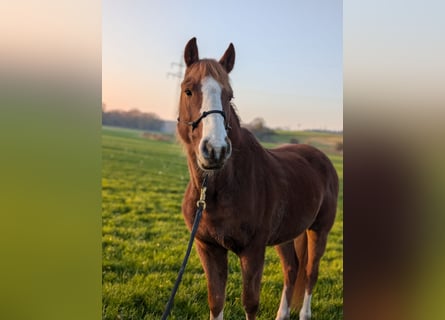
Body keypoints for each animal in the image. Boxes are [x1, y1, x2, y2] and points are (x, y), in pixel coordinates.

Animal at [176, 38, 336, 320]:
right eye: (188, 90)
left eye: (229, 95)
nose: (215, 150)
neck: (218, 189)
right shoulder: (208, 248)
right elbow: (216, 301)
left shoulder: (253, 250)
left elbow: (250, 303)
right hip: (287, 234)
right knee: (292, 269)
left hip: (320, 230)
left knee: (310, 272)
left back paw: (305, 314)